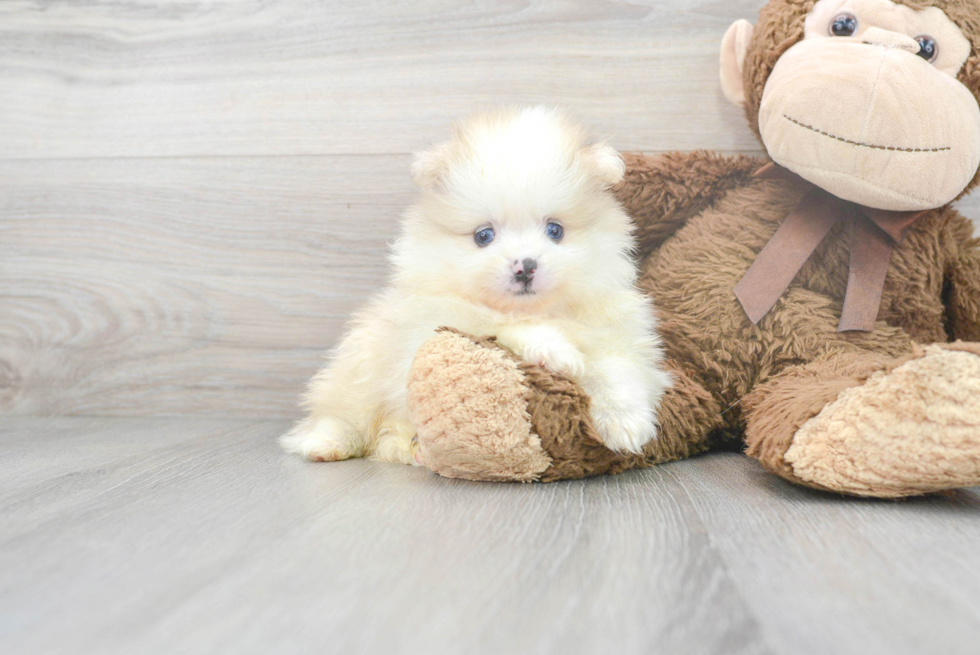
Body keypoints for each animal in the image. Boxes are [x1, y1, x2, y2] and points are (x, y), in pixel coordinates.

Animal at [280, 107, 668, 466]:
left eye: (555, 230)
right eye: (484, 236)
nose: (525, 266)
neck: (540, 309)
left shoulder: (618, 337)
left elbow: (618, 371)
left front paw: (626, 425)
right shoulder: (431, 328)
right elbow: (500, 323)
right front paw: (554, 349)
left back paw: (409, 449)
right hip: (359, 367)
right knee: (344, 414)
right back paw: (326, 443)